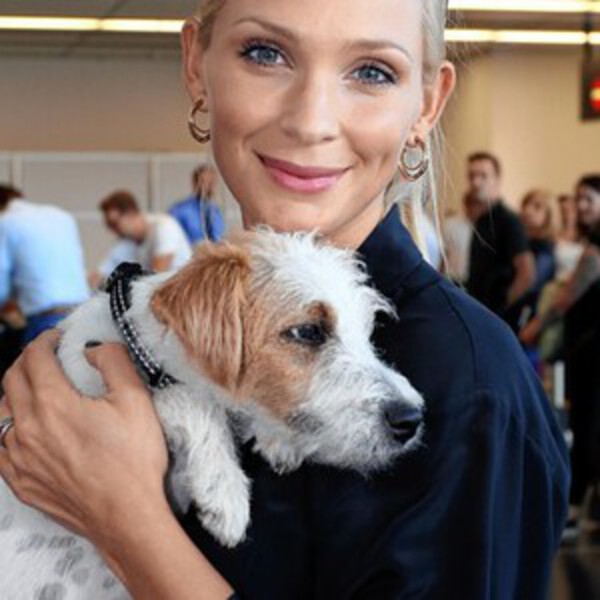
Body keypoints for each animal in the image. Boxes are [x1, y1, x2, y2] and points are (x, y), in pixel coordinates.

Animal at [0, 229, 424, 599]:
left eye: (367, 333)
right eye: (308, 332)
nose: (411, 418)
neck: (146, 348)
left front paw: (277, 439)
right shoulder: (93, 381)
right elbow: (189, 398)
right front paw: (225, 489)